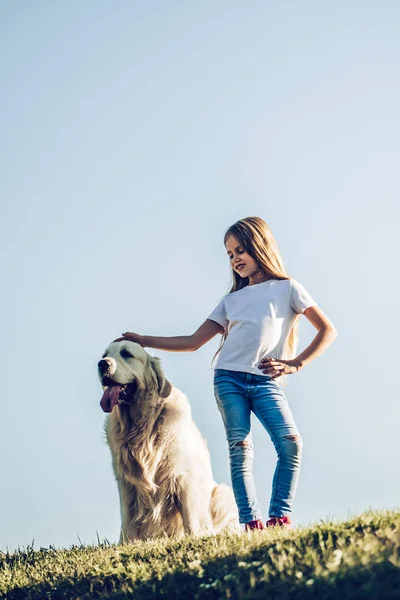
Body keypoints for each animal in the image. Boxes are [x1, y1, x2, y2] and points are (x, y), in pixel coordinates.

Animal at [98, 340, 239, 540]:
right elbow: (127, 521)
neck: (139, 426)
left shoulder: (183, 476)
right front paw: (127, 543)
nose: (102, 364)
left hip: (223, 494)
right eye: (105, 355)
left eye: (127, 354)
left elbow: (191, 518)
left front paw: (196, 537)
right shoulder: (125, 482)